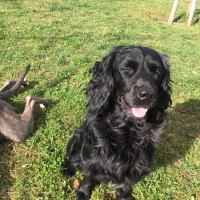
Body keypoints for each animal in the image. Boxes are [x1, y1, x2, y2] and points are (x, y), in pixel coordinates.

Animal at [62, 45, 170, 200]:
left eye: (157, 72)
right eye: (127, 69)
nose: (148, 94)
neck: (127, 127)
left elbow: (125, 183)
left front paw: (123, 195)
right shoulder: (91, 155)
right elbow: (88, 176)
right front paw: (83, 192)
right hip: (75, 139)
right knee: (70, 158)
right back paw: (67, 169)